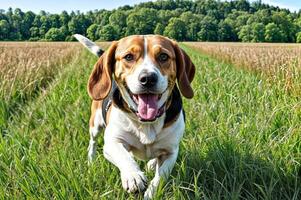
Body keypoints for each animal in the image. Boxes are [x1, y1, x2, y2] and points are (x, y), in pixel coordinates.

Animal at [73, 34, 195, 198]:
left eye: (163, 56)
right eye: (128, 57)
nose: (148, 78)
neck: (146, 122)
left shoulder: (171, 152)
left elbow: (161, 176)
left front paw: (151, 194)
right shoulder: (111, 143)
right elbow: (123, 156)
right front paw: (133, 176)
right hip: (95, 125)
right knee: (92, 143)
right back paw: (91, 161)